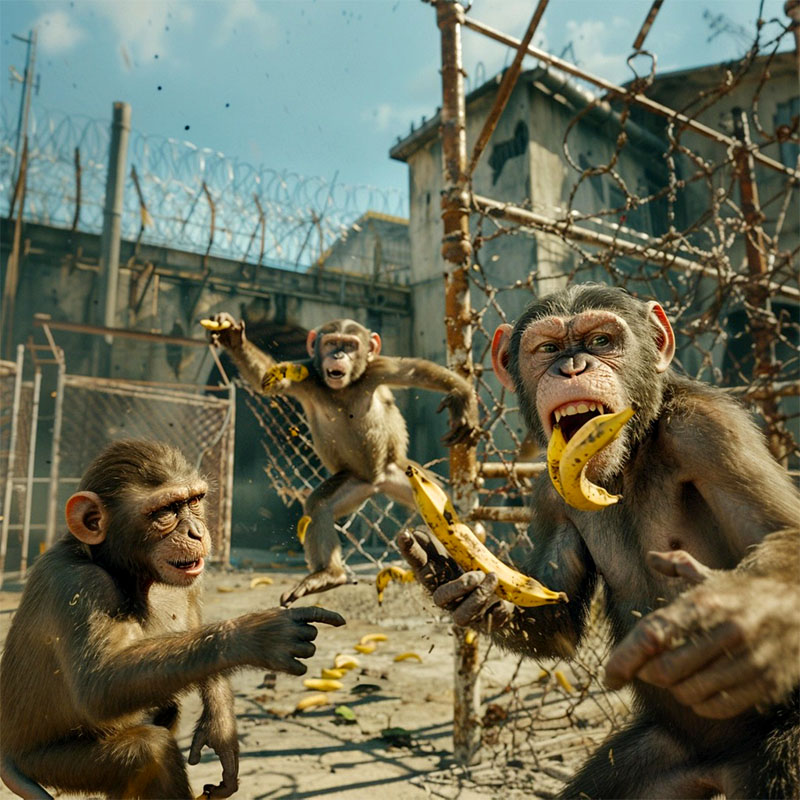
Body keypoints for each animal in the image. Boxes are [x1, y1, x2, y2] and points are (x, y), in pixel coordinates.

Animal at [0, 439, 345, 800]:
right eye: (165, 511)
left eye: (193, 501)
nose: (195, 532)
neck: (125, 570)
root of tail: (9, 755)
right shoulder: (76, 583)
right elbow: (97, 685)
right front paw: (257, 635)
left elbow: (197, 639)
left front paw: (219, 728)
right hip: (50, 764)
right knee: (147, 751)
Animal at [207, 313, 478, 607]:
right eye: (331, 342)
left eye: (350, 345)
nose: (338, 354)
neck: (344, 386)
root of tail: (376, 481)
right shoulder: (306, 374)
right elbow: (268, 379)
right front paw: (234, 339)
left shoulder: (378, 369)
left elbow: (416, 370)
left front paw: (462, 395)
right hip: (355, 482)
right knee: (319, 506)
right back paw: (328, 574)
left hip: (398, 471)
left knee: (445, 502)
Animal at [398, 283, 800, 798]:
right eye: (548, 347)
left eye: (601, 341)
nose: (572, 366)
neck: (626, 459)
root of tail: (719, 764)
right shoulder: (549, 495)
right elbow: (560, 618)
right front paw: (460, 583)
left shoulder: (711, 435)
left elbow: (782, 532)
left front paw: (745, 619)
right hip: (659, 758)